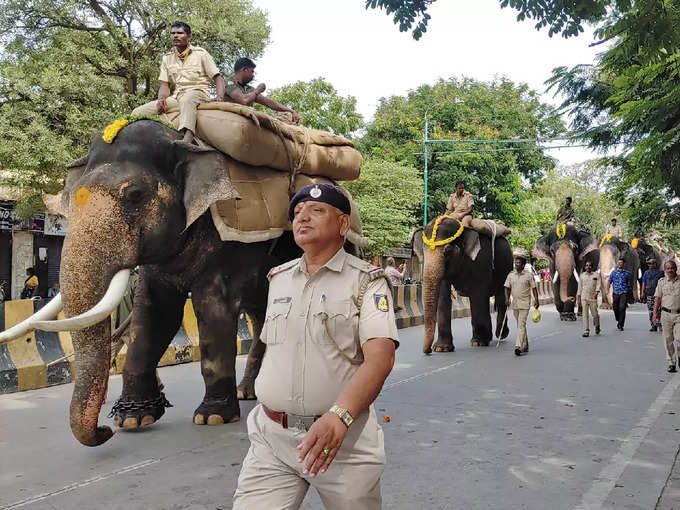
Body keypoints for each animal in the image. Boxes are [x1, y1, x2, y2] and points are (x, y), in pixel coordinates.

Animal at [2, 119, 358, 446]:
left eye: (135, 195)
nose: (103, 431)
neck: (185, 144)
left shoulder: (226, 249)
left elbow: (212, 310)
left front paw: (212, 417)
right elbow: (153, 316)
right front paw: (133, 419)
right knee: (262, 318)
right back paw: (248, 392)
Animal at [412, 218, 512, 354]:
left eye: (448, 251)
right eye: (423, 250)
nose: (427, 351)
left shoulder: (481, 260)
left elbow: (478, 295)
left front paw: (479, 342)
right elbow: (443, 296)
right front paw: (441, 348)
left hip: (507, 266)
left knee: (501, 298)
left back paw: (499, 335)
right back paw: (487, 337)